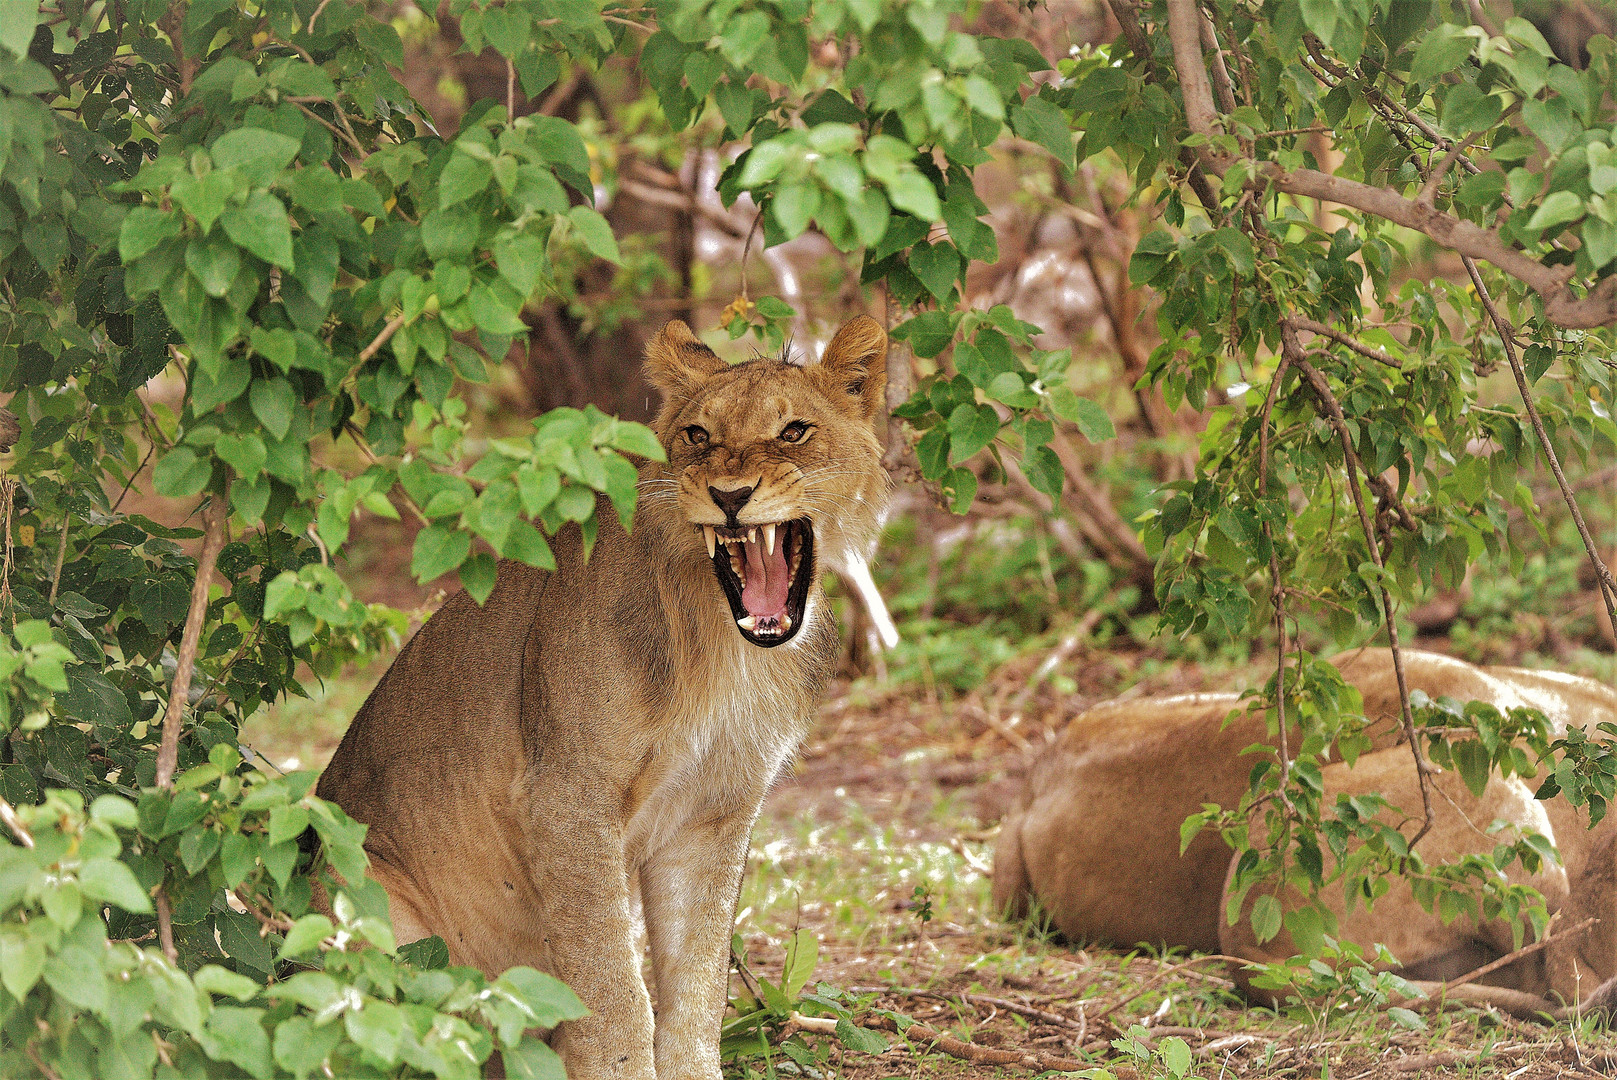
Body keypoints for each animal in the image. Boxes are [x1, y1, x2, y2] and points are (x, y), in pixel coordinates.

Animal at [312, 316, 899, 1073]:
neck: (724, 649)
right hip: (352, 890)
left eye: (794, 431)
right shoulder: (566, 794)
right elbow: (611, 984)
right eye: (697, 435)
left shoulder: (716, 810)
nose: (730, 496)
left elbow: (698, 979)